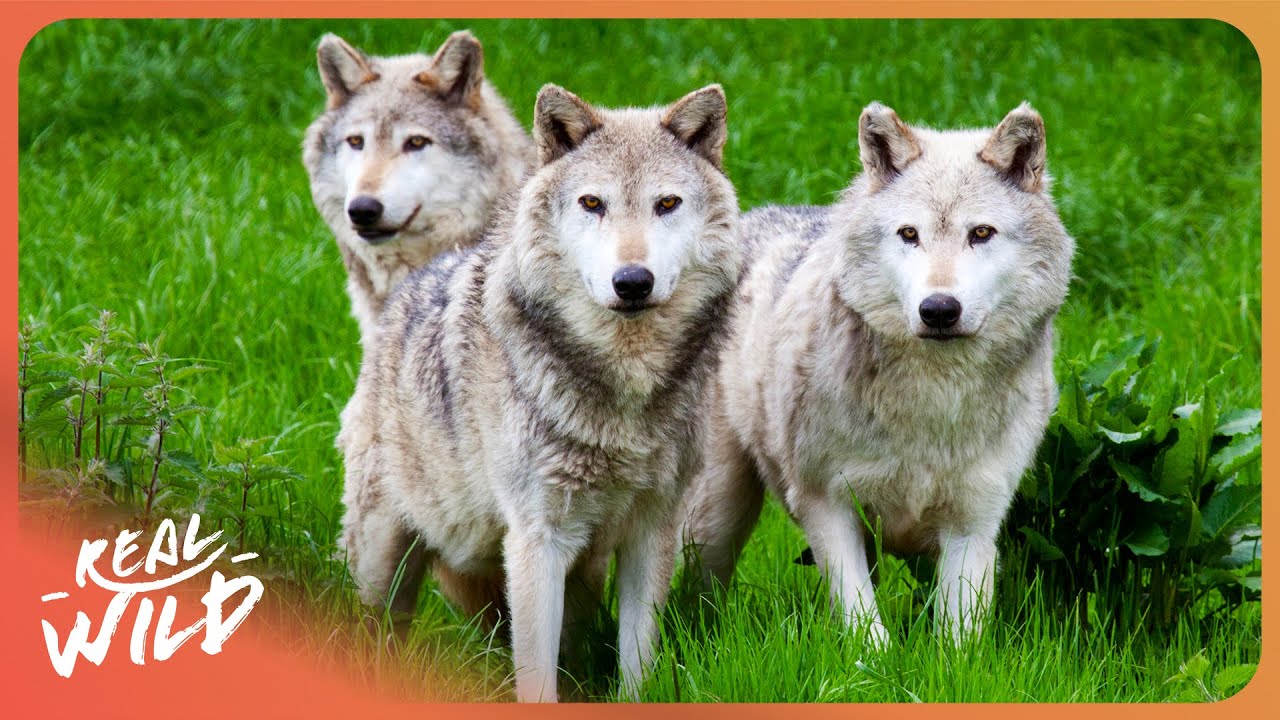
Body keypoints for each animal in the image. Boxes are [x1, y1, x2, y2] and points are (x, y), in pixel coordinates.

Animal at [337, 83, 740, 702]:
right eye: (592, 203)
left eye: (667, 204)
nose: (633, 281)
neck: (622, 387)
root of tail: (413, 282)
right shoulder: (535, 540)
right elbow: (535, 679)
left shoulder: (652, 533)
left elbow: (637, 664)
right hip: (386, 565)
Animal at [682, 102, 1074, 643]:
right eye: (909, 234)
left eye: (981, 233)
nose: (939, 310)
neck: (933, 397)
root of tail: (749, 218)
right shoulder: (826, 505)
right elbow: (866, 630)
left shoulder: (975, 522)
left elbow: (958, 645)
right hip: (717, 516)